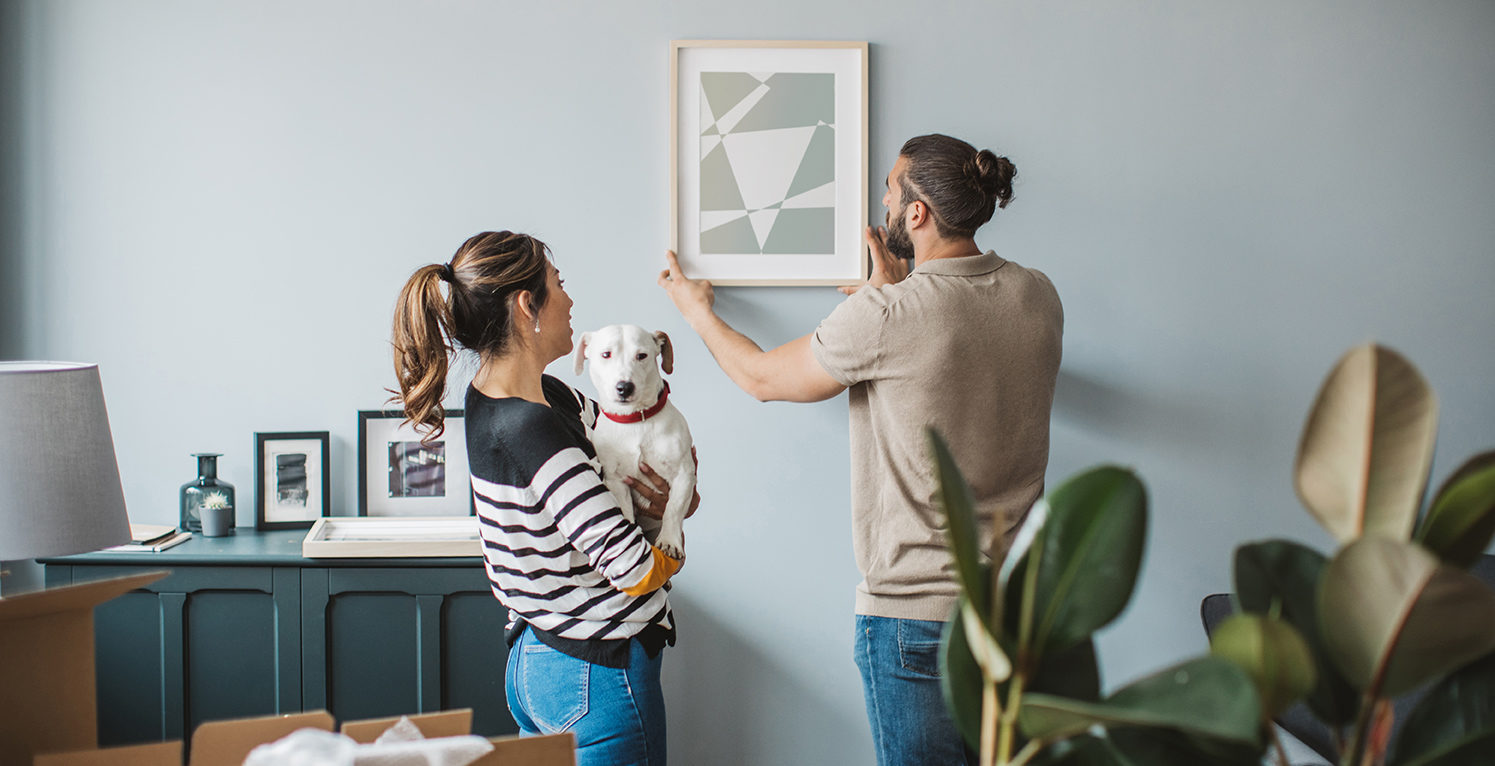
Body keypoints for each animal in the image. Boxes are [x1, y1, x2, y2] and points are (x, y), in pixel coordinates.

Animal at [574, 323, 696, 556]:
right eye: (606, 354)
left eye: (642, 356)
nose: (624, 387)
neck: (635, 421)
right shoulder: (616, 480)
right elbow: (625, 512)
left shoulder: (684, 474)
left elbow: (673, 509)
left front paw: (669, 541)